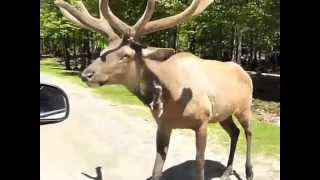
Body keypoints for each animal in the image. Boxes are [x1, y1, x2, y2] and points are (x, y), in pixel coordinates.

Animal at [55, 0, 255, 180]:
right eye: (102, 51)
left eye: (125, 55)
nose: (86, 74)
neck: (174, 95)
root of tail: (245, 72)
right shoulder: (163, 125)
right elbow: (156, 169)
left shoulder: (202, 121)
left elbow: (199, 166)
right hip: (223, 114)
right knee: (234, 132)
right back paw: (227, 171)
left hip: (244, 108)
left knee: (248, 132)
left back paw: (248, 172)